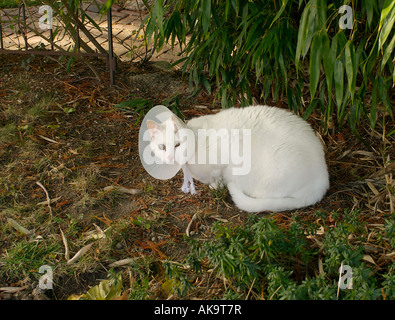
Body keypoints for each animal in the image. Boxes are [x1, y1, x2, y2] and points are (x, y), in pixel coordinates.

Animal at [147, 105, 330, 214]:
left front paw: (215, 186)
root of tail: (323, 179)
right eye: (162, 147)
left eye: (177, 144)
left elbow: (217, 178)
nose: (170, 157)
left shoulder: (222, 161)